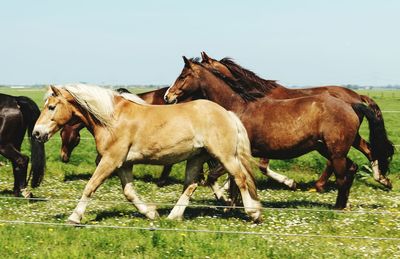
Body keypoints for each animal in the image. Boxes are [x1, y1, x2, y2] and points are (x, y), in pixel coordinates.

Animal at [32, 85, 262, 223]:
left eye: (51, 107)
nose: (36, 133)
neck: (112, 119)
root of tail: (227, 114)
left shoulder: (110, 161)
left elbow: (90, 186)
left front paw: (74, 217)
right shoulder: (123, 164)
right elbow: (129, 192)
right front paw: (151, 213)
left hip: (225, 156)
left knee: (240, 179)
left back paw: (254, 213)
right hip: (196, 157)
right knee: (191, 185)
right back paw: (172, 216)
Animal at [164, 56, 392, 209]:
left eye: (183, 75)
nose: (168, 96)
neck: (238, 107)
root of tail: (352, 103)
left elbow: (223, 177)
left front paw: (230, 201)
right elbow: (234, 180)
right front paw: (233, 204)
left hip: (335, 151)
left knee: (344, 175)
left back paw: (337, 204)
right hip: (331, 148)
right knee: (356, 163)